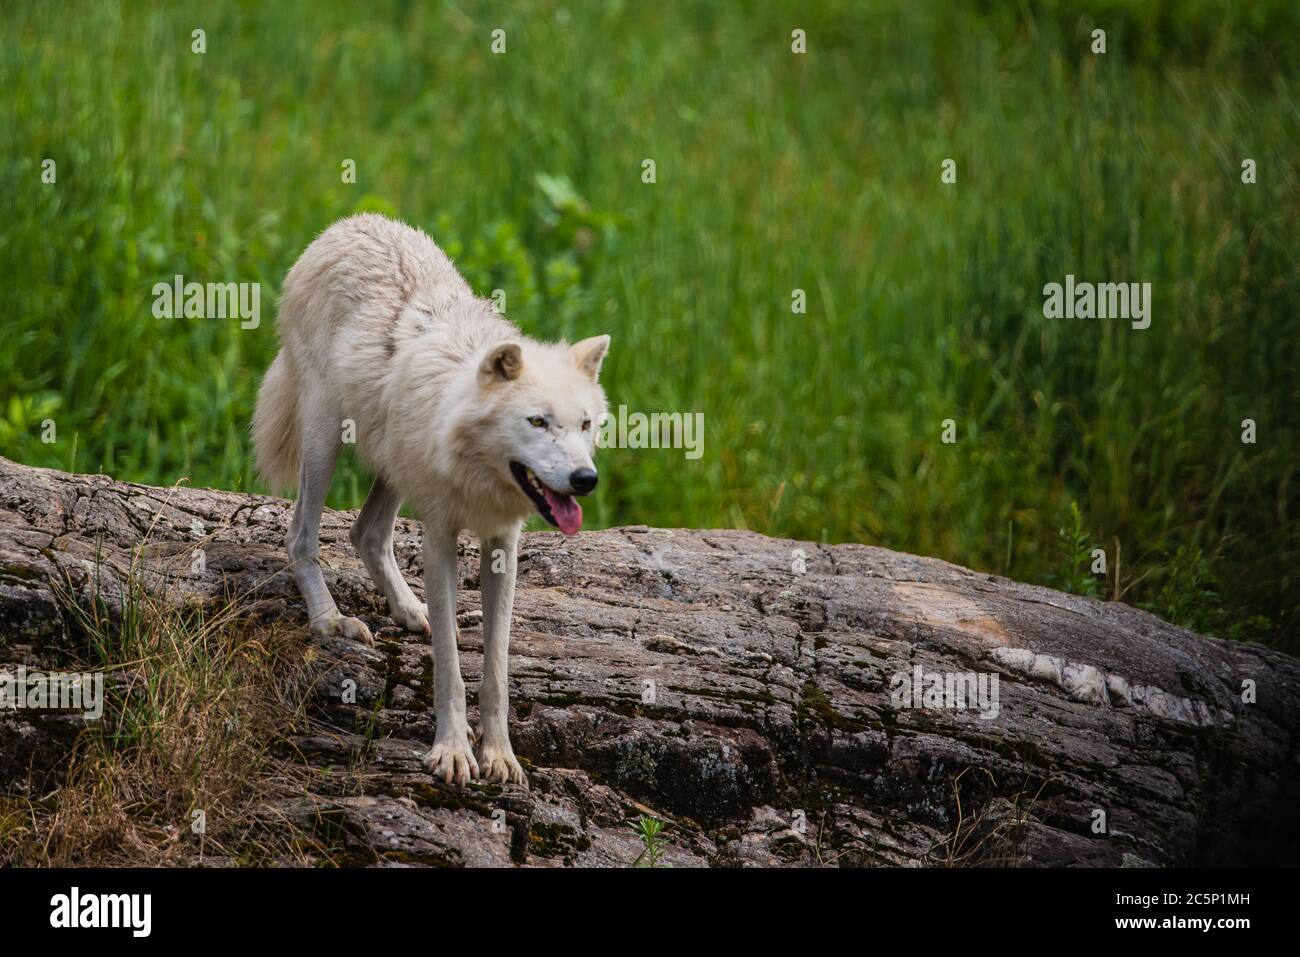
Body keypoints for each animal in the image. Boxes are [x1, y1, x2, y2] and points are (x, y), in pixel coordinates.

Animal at [252, 214, 608, 785]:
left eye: (585, 424)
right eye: (537, 421)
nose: (585, 478)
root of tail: (347, 225)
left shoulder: (502, 544)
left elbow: (496, 669)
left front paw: (500, 756)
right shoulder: (440, 536)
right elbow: (450, 666)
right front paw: (453, 751)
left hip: (394, 465)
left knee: (366, 532)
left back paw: (407, 610)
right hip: (325, 436)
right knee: (300, 535)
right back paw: (331, 621)